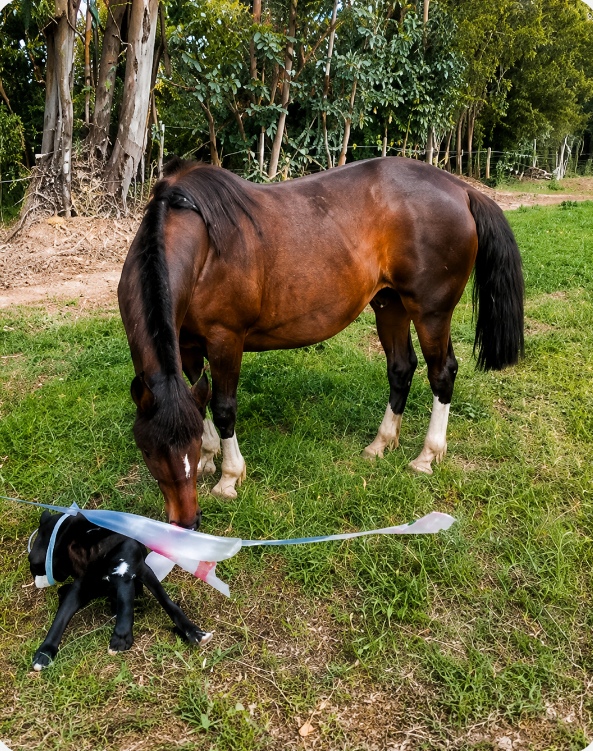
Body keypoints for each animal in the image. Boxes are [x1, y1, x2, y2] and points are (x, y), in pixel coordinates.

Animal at [118, 157, 524, 529]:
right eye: (147, 450)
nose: (187, 524)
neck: (203, 244)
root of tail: (462, 190)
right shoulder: (187, 346)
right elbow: (198, 402)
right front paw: (208, 456)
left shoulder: (225, 340)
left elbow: (223, 408)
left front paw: (229, 477)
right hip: (390, 303)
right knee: (401, 368)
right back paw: (381, 443)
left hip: (431, 312)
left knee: (442, 372)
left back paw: (427, 456)